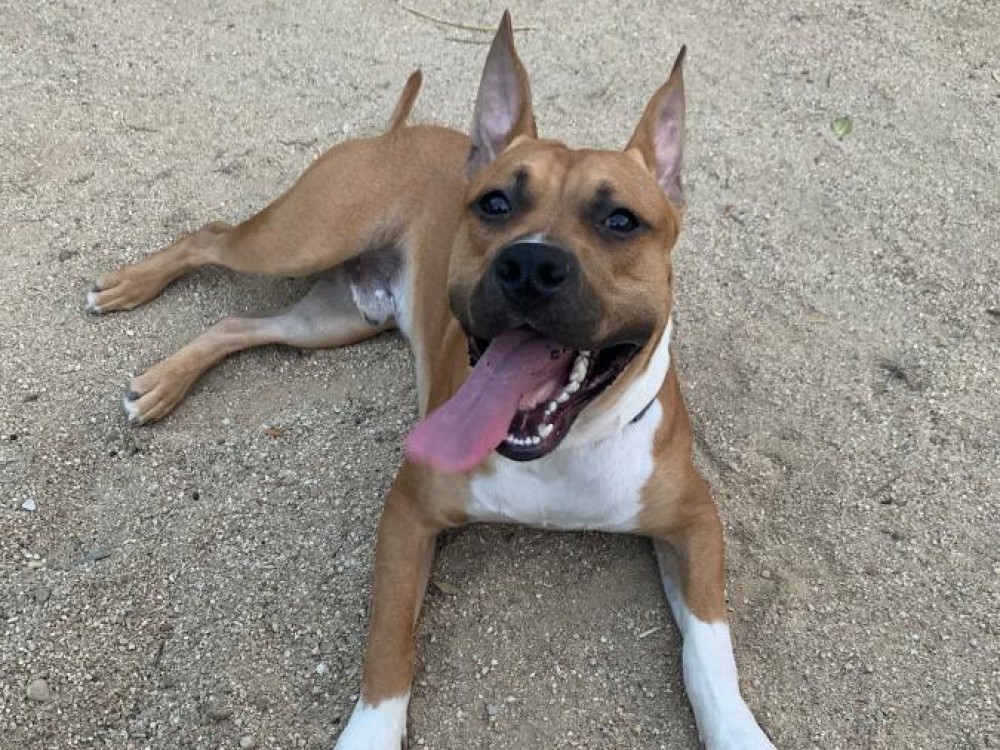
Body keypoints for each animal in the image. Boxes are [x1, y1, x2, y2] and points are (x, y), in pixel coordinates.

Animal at [87, 12, 776, 749]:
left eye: (621, 220)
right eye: (495, 203)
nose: (528, 265)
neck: (560, 452)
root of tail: (396, 132)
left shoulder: (694, 523)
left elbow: (710, 649)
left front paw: (739, 732)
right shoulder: (409, 513)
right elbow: (388, 645)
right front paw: (368, 734)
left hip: (332, 318)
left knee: (236, 324)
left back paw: (161, 383)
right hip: (300, 239)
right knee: (210, 237)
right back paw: (130, 290)